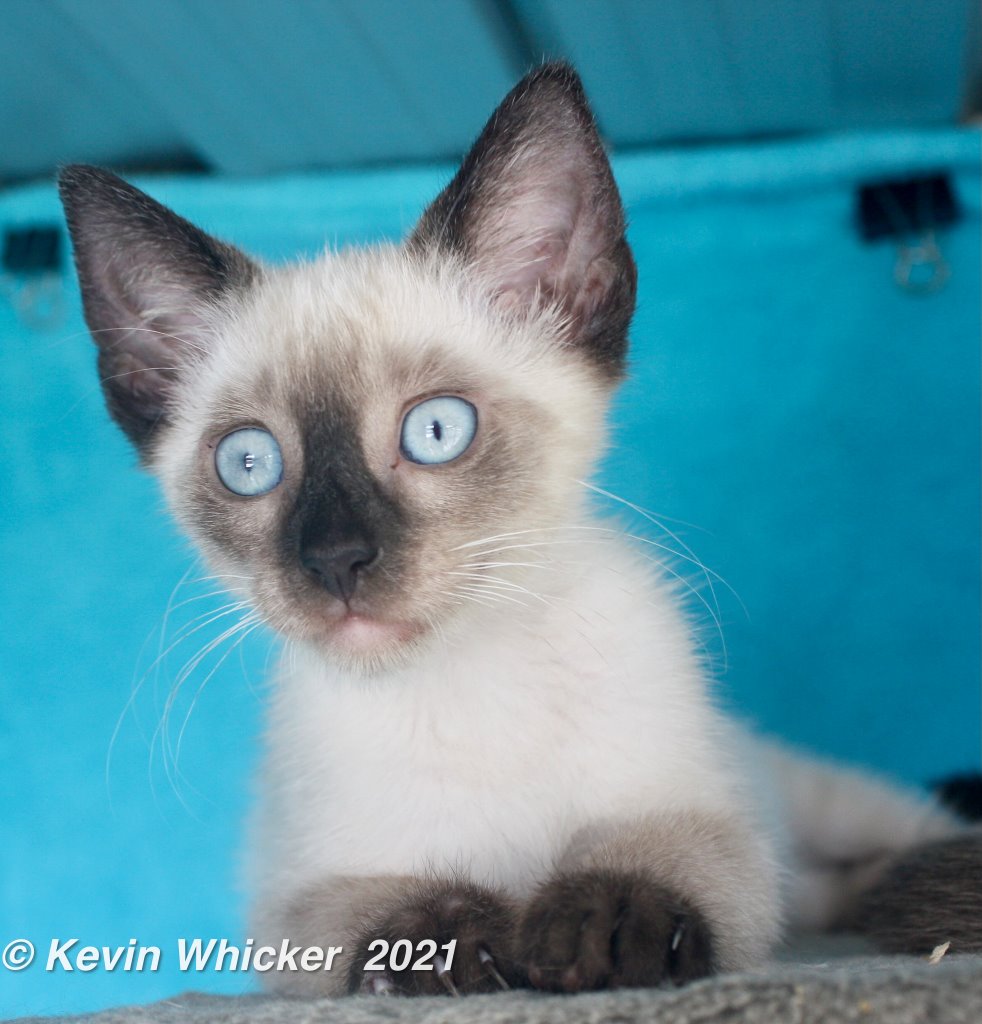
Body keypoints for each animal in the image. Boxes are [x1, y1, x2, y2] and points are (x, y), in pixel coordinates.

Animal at [59, 61, 974, 991]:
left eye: (436, 431)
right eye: (250, 463)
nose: (337, 559)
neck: (468, 676)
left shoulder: (710, 812)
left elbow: (675, 858)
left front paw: (601, 929)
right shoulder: (291, 906)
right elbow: (366, 916)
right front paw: (451, 945)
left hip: (823, 800)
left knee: (897, 850)